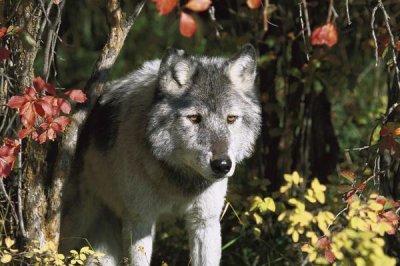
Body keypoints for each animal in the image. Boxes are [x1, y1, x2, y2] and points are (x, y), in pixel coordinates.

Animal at [57, 43, 260, 264]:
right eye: (194, 118)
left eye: (231, 119)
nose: (222, 165)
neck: (177, 178)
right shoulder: (140, 221)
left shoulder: (205, 222)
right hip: (74, 226)